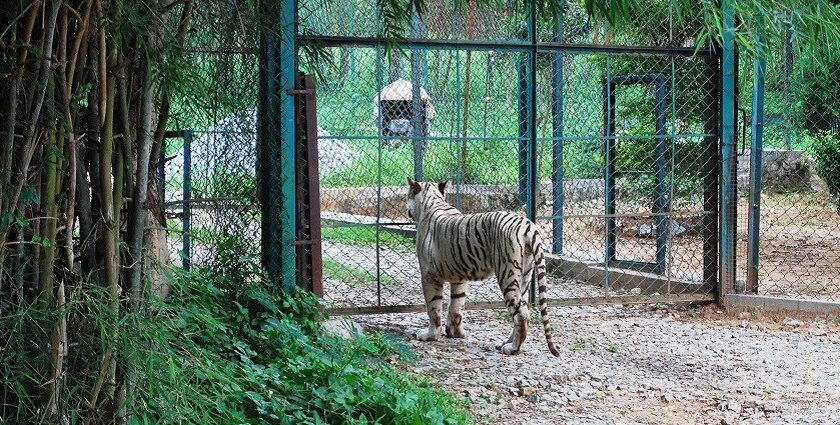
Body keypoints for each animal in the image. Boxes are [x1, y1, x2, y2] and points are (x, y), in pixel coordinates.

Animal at [406, 177, 556, 356]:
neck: (432, 201)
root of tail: (527, 224)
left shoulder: (429, 276)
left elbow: (433, 308)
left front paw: (429, 335)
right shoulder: (459, 278)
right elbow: (457, 307)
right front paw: (455, 333)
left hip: (508, 274)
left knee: (521, 314)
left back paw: (513, 349)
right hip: (525, 277)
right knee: (523, 308)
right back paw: (507, 343)